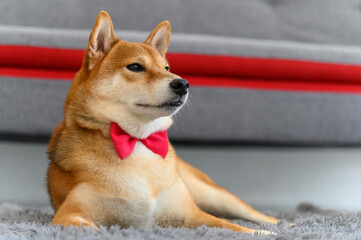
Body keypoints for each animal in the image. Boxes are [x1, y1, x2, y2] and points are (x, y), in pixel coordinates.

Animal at [47, 10, 278, 235]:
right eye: (135, 66)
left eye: (166, 68)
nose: (183, 84)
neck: (138, 141)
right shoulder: (70, 215)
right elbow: (98, 230)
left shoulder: (191, 214)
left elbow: (235, 228)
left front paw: (263, 233)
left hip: (212, 194)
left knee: (254, 215)